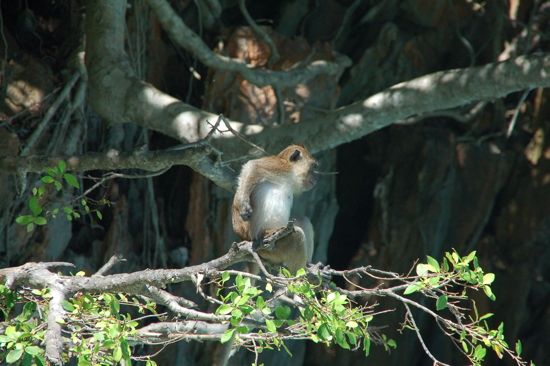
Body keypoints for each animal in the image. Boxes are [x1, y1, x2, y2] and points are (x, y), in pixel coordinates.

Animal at [233, 143, 320, 274]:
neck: (292, 175)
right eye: (313, 166)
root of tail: (247, 239)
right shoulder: (280, 167)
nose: (315, 177)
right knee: (297, 235)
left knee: (303, 221)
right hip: (267, 244)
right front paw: (242, 203)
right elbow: (253, 166)